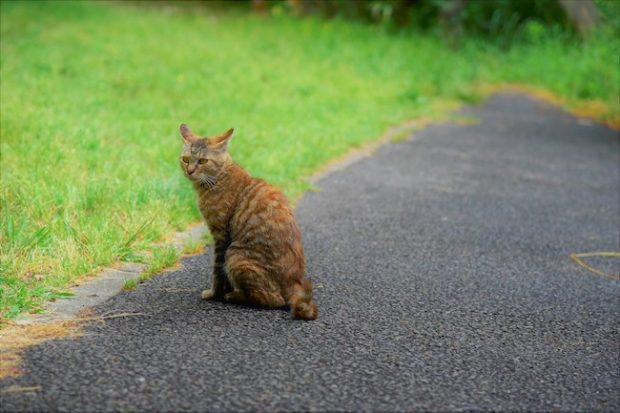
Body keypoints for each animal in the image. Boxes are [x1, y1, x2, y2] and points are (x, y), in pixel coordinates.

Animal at [177, 124, 318, 320]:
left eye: (203, 161)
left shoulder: (221, 235)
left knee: (273, 300)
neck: (220, 177)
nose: (189, 170)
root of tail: (294, 283)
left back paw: (235, 296)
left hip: (235, 256)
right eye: (186, 159)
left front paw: (214, 294)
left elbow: (217, 271)